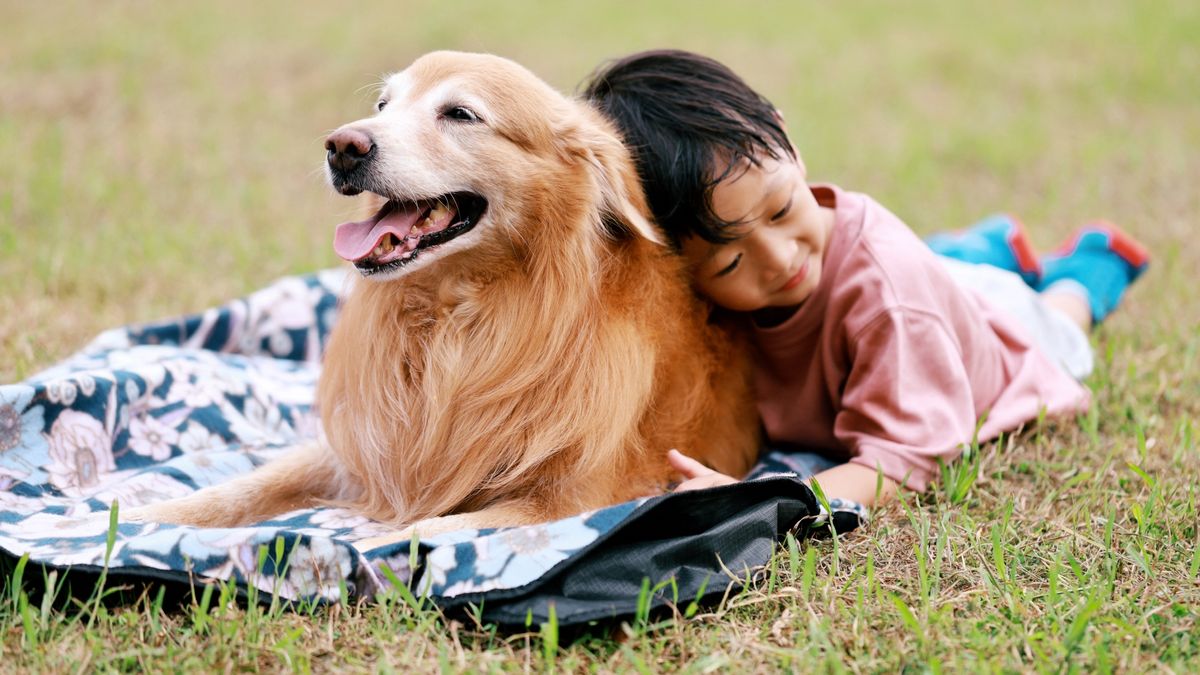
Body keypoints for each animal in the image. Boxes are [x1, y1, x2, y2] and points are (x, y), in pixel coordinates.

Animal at [124, 51, 758, 535]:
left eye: (460, 114)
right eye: (383, 106)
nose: (342, 145)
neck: (457, 319)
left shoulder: (573, 496)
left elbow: (418, 531)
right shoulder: (365, 449)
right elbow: (248, 484)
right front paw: (139, 518)